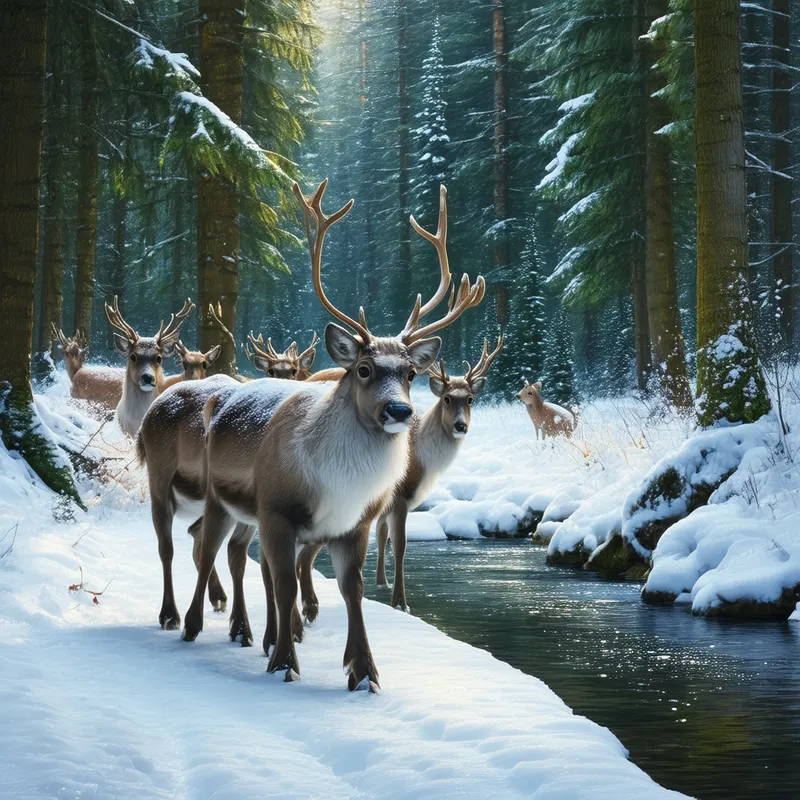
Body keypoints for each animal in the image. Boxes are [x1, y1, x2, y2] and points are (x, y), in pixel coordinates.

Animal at [170, 179, 483, 691]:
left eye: (410, 374)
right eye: (363, 368)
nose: (400, 410)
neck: (336, 482)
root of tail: (221, 398)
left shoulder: (352, 524)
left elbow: (351, 589)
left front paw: (363, 671)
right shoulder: (278, 510)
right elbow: (284, 583)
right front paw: (285, 662)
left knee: (238, 558)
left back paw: (253, 633)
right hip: (220, 497)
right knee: (208, 546)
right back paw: (197, 624)